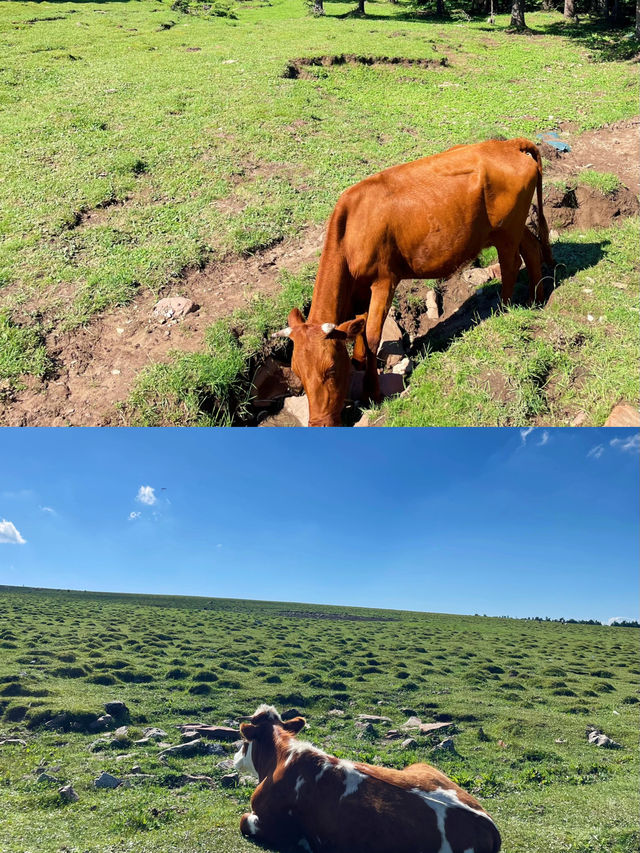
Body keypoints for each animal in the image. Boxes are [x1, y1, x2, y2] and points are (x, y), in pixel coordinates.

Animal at [232, 704, 502, 852]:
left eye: (244, 740)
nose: (235, 757)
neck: (283, 758)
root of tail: (487, 824)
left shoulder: (273, 826)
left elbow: (243, 820)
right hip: (422, 767)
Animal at [276, 137, 556, 426]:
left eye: (331, 370)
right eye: (297, 372)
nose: (319, 423)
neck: (350, 229)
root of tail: (507, 144)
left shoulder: (384, 281)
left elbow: (372, 336)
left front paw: (372, 392)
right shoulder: (360, 288)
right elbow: (360, 327)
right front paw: (358, 361)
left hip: (506, 229)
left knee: (511, 264)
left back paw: (503, 308)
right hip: (512, 227)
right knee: (531, 248)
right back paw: (536, 299)